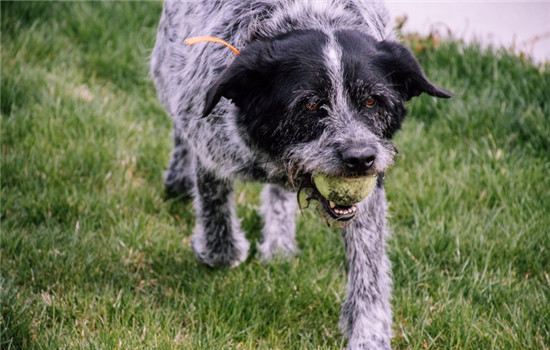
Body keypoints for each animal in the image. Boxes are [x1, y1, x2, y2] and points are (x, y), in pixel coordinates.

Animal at [152, 0, 452, 348]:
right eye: (309, 105)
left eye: (371, 100)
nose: (360, 159)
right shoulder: (211, 149)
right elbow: (218, 231)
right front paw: (218, 249)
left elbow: (369, 266)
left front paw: (368, 334)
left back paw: (279, 241)